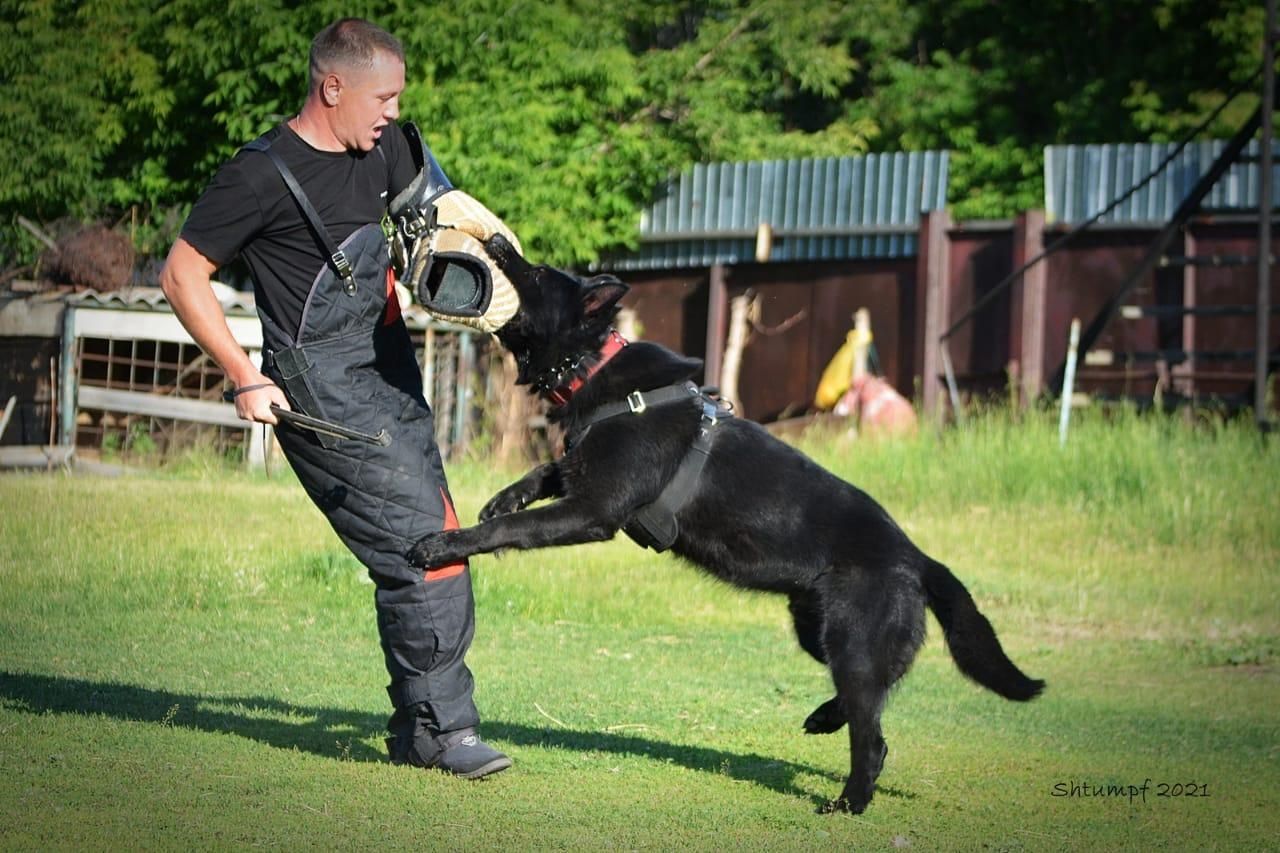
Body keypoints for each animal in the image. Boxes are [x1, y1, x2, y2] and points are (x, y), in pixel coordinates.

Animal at [414, 233, 1044, 809]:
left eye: (538, 272)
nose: (497, 239)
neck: (594, 367)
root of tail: (914, 555)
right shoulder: (581, 477)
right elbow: (547, 470)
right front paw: (505, 496)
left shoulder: (593, 512)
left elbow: (511, 528)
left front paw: (446, 543)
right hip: (818, 632)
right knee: (868, 701)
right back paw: (824, 717)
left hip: (852, 644)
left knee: (873, 737)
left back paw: (850, 801)